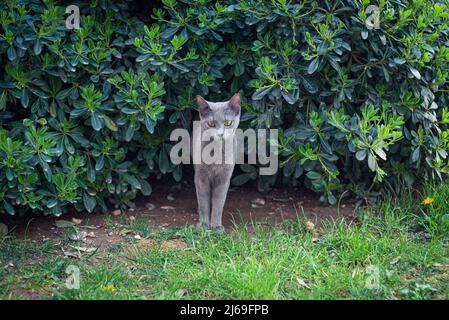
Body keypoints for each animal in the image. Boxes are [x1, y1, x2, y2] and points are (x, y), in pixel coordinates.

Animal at [193, 92, 240, 230]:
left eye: (228, 122)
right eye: (211, 124)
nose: (220, 134)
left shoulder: (224, 178)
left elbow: (219, 202)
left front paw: (216, 227)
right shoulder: (201, 176)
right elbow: (203, 200)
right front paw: (203, 225)